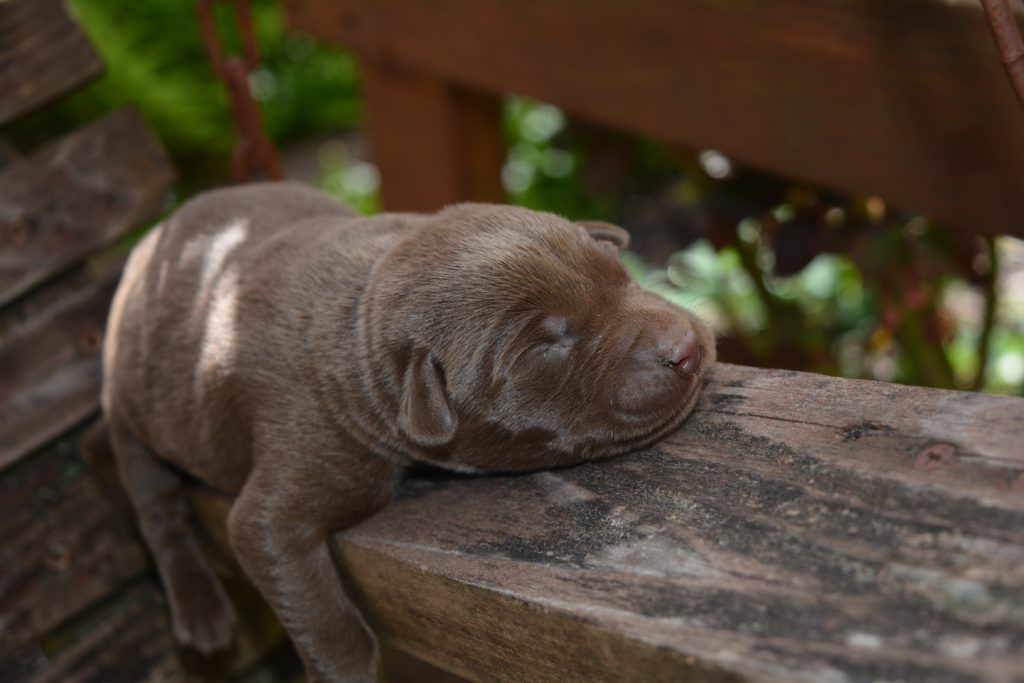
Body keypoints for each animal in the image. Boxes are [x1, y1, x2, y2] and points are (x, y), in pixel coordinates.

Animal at [99, 183, 716, 683]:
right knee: (156, 507)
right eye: (545, 346)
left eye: (617, 272)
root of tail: (147, 247)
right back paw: (200, 611)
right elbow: (308, 593)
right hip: (128, 409)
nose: (685, 347)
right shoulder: (295, 467)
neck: (362, 313)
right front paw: (345, 669)